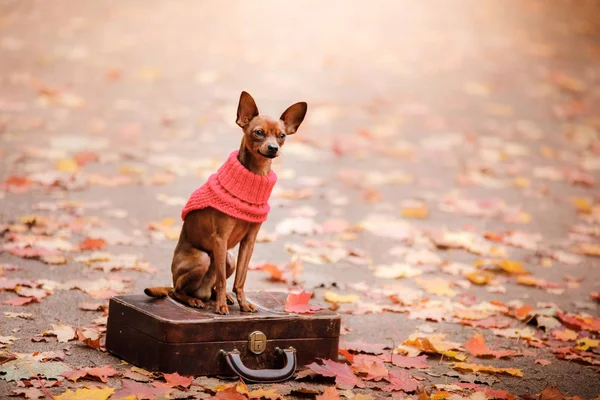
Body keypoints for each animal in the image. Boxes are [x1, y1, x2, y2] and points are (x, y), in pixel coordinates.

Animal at [144, 92, 308, 314]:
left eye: (282, 135)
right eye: (258, 132)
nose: (273, 148)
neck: (255, 175)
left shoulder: (249, 242)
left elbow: (241, 279)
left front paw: (243, 303)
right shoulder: (220, 239)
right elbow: (222, 280)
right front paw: (221, 306)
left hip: (229, 259)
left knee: (210, 285)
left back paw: (220, 297)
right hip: (203, 259)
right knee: (177, 291)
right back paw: (194, 300)